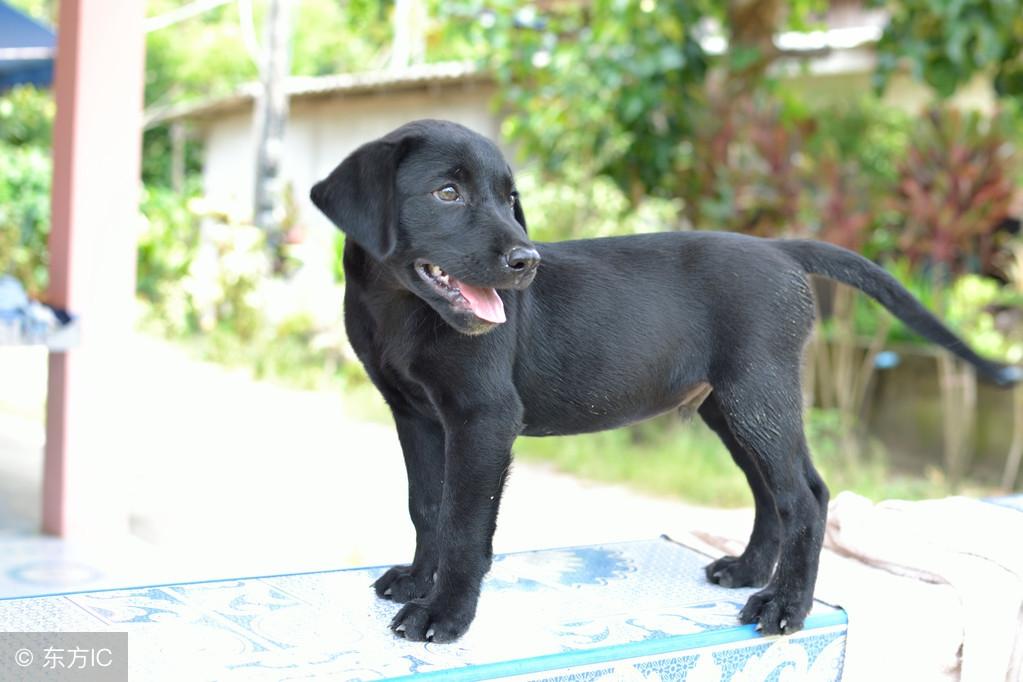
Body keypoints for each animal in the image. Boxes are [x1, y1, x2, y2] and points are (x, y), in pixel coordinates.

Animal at [308, 120, 1014, 642]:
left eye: (510, 200)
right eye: (447, 194)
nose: (526, 261)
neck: (401, 308)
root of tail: (781, 248)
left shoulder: (483, 418)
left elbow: (462, 521)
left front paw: (445, 613)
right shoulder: (416, 415)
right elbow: (427, 506)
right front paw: (417, 580)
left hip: (758, 395)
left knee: (806, 496)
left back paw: (785, 605)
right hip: (730, 406)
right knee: (774, 493)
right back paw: (749, 571)